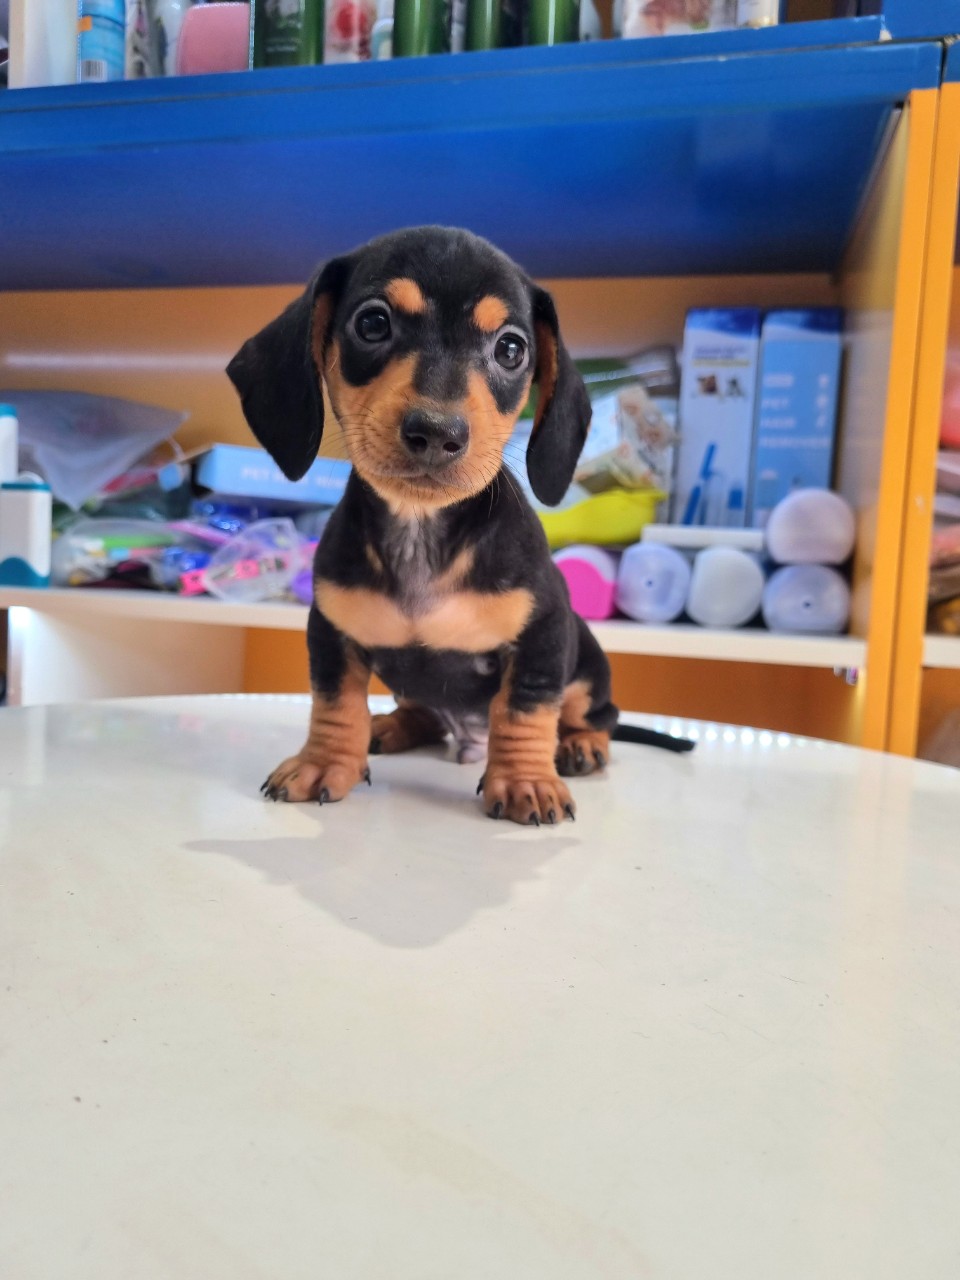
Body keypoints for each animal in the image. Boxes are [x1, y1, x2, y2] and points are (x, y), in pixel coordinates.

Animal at [228, 226, 691, 826]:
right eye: (372, 323)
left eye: (512, 349)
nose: (436, 431)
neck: (421, 532)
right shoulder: (331, 631)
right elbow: (335, 702)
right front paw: (325, 760)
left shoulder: (543, 636)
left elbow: (524, 709)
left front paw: (525, 780)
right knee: (421, 709)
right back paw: (392, 725)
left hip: (587, 666)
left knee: (596, 715)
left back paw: (579, 744)